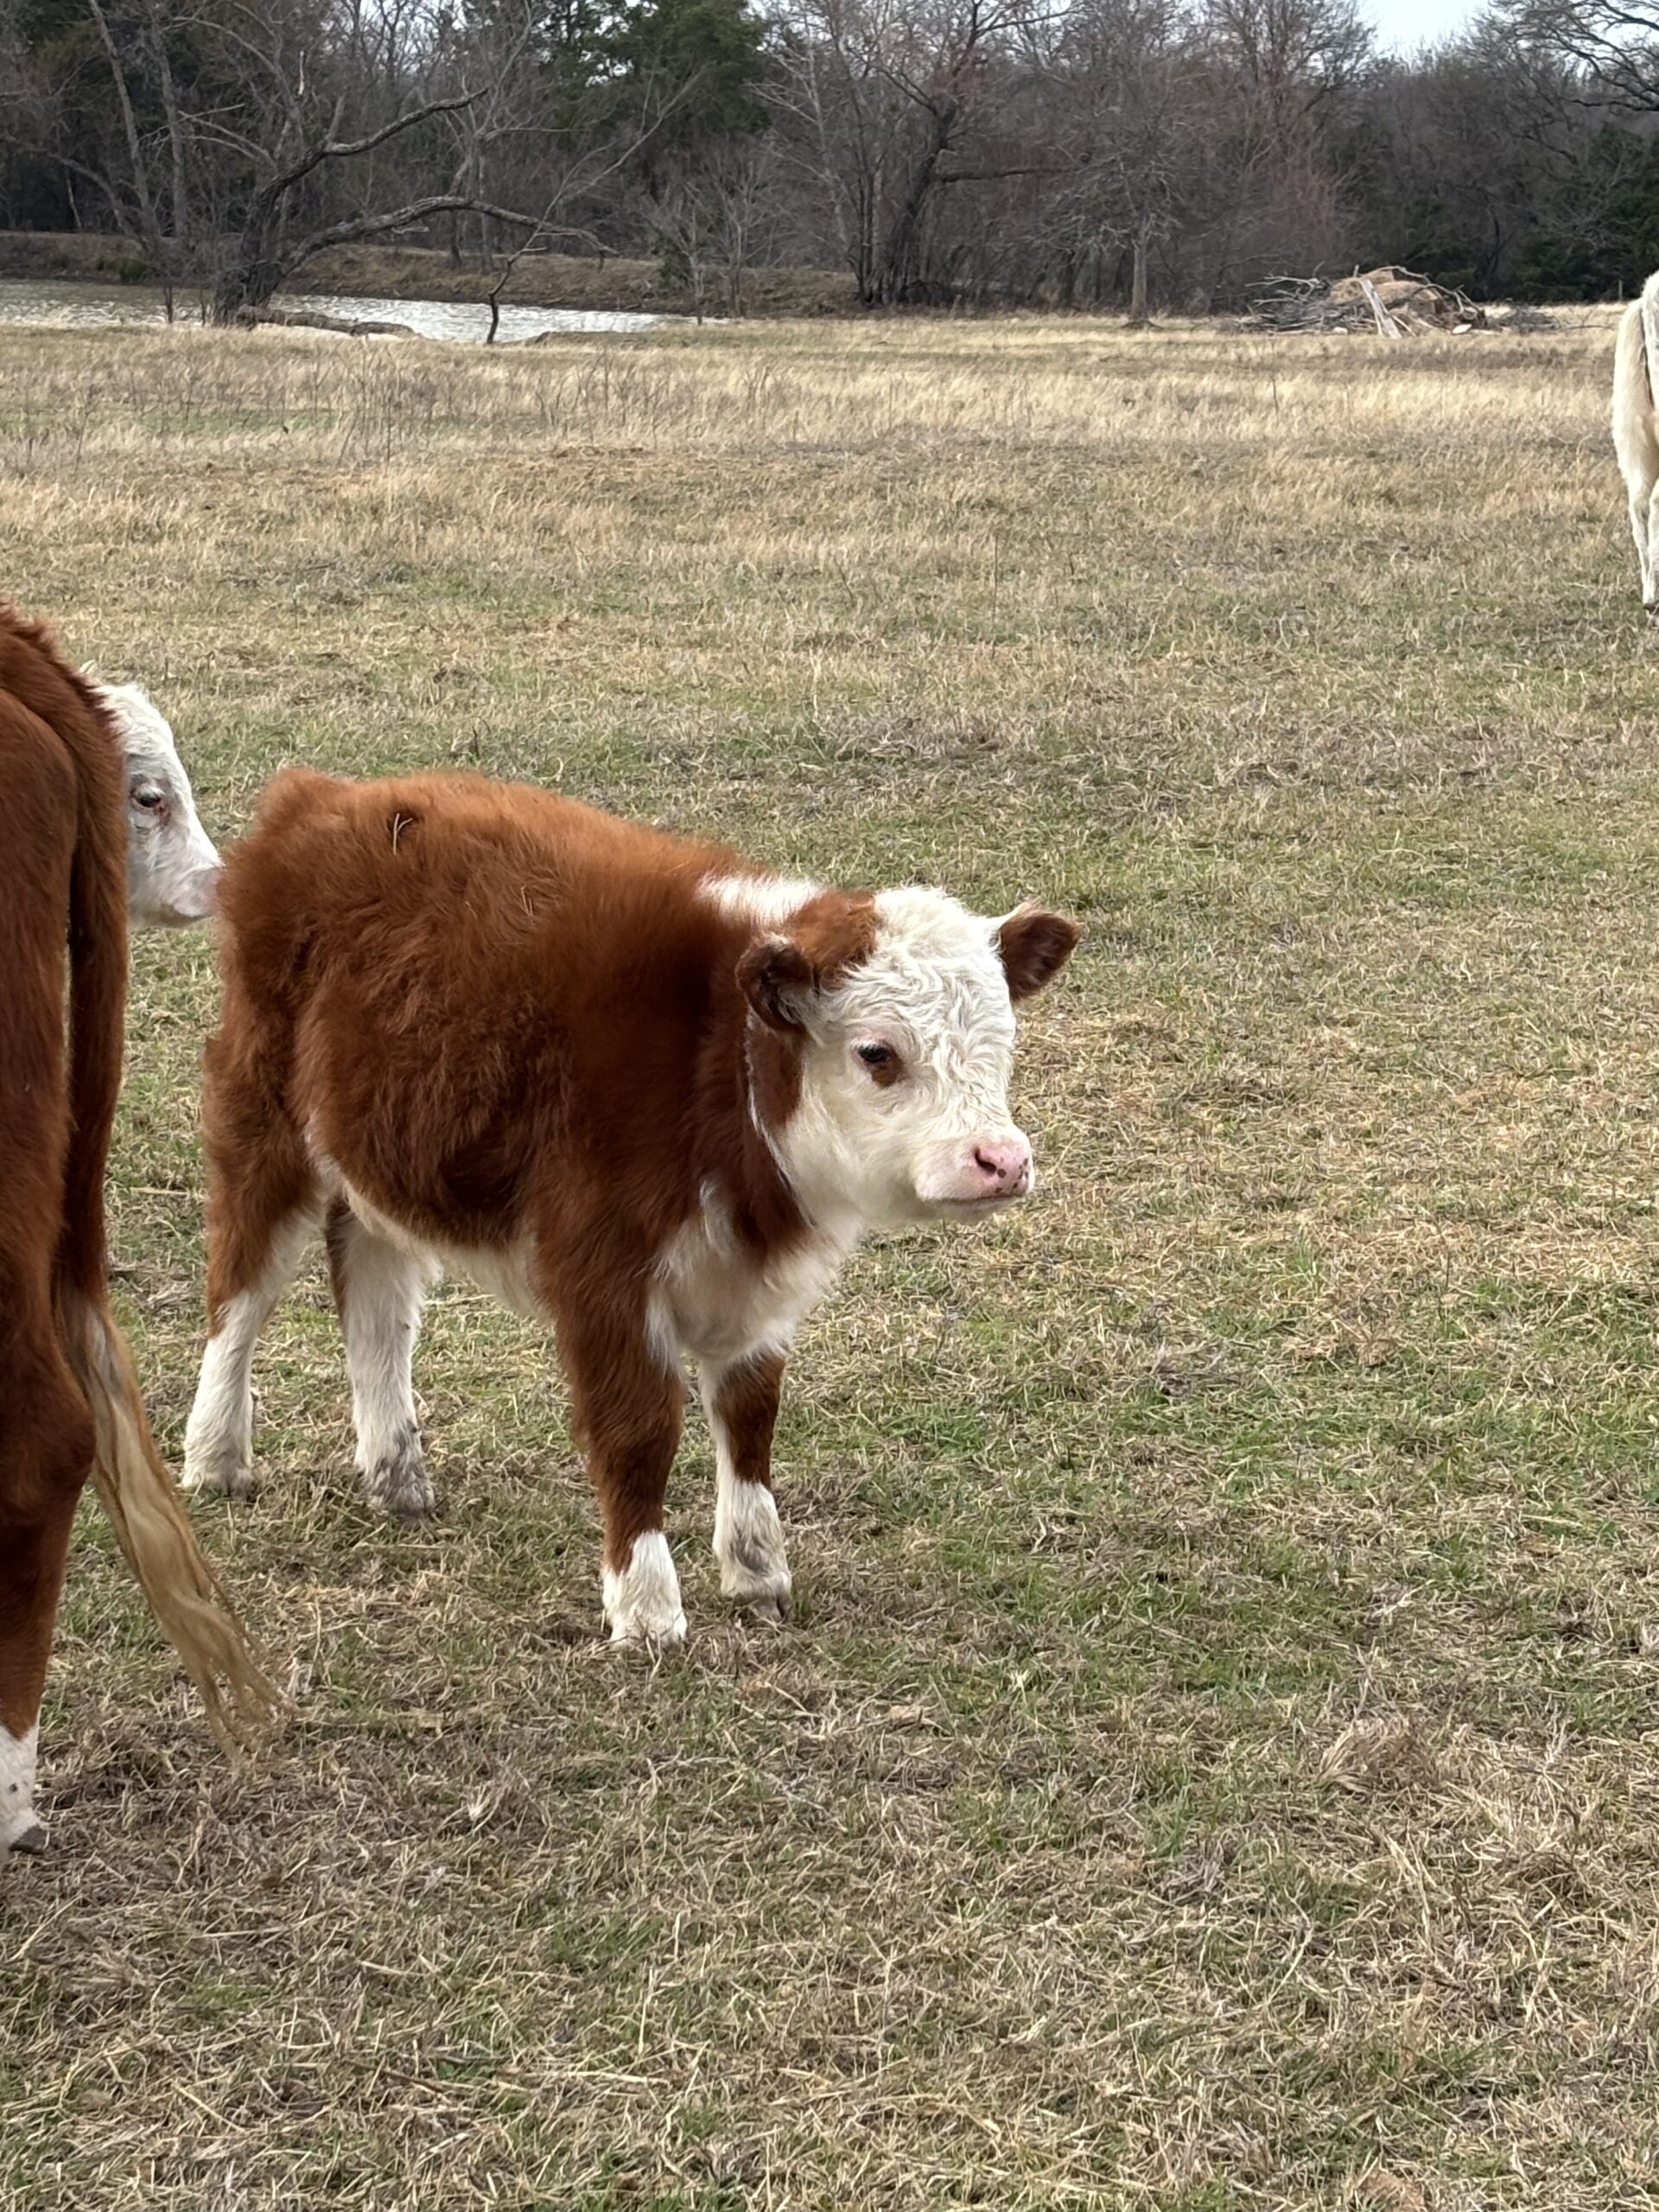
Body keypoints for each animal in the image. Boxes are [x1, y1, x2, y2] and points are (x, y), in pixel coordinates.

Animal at [182, 769, 1080, 1648]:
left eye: (1003, 1041)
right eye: (877, 1053)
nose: (1001, 1161)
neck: (713, 1060)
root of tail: (323, 795)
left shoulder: (750, 1290)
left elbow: (750, 1417)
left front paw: (757, 1571)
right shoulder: (601, 1270)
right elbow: (638, 1428)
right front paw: (646, 1607)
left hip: (382, 1152)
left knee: (374, 1297)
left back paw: (396, 1472)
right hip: (262, 1122)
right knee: (240, 1290)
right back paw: (216, 1456)